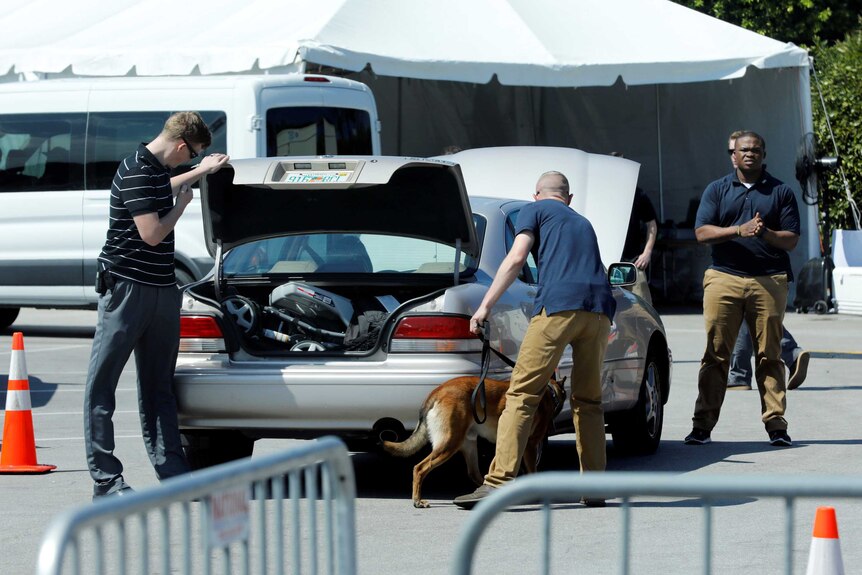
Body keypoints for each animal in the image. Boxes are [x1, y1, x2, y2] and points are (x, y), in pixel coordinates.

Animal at [384, 378, 568, 508]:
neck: (550, 392)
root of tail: (438, 391)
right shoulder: (530, 446)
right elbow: (531, 471)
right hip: (450, 444)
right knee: (419, 468)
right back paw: (418, 500)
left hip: (468, 445)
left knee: (474, 473)